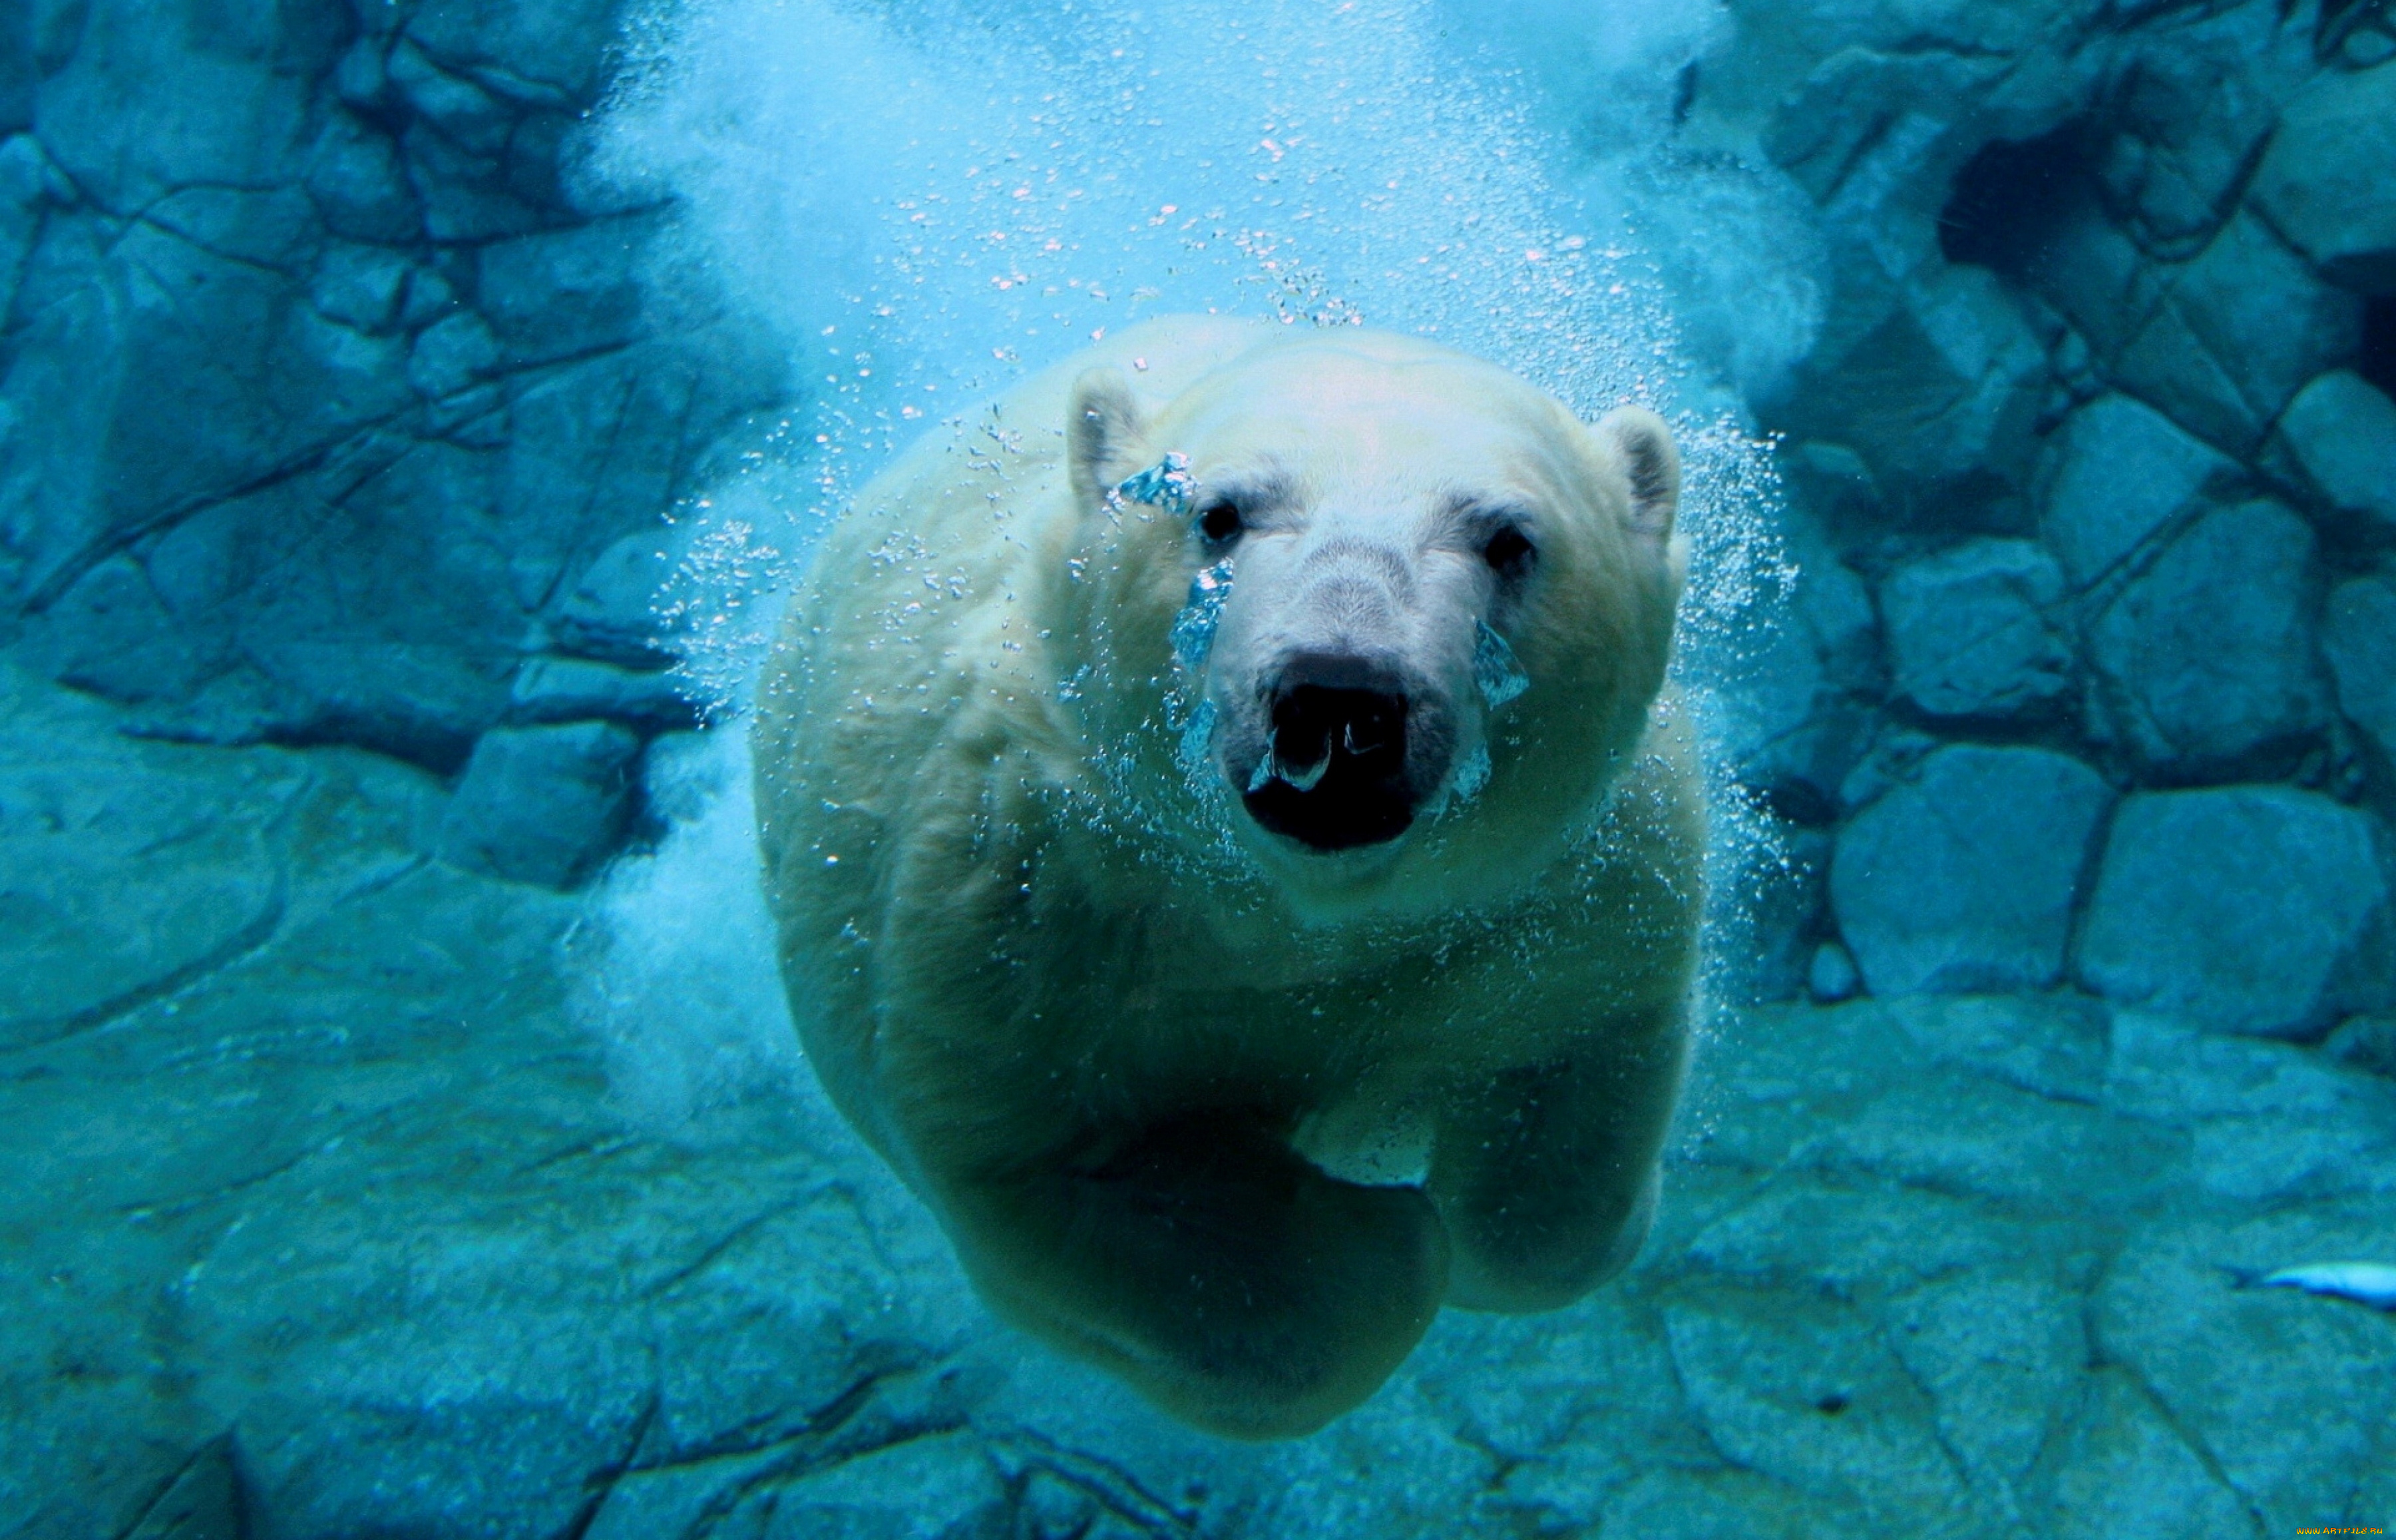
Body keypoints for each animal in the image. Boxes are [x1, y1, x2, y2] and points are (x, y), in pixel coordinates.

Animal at [752, 316, 1706, 1446]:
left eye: (1510, 539)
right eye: (1218, 513)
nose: (1340, 695)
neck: (1296, 912)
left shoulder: (1565, 890)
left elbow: (1566, 1114)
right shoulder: (1023, 903)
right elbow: (1055, 1168)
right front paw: (1382, 1234)